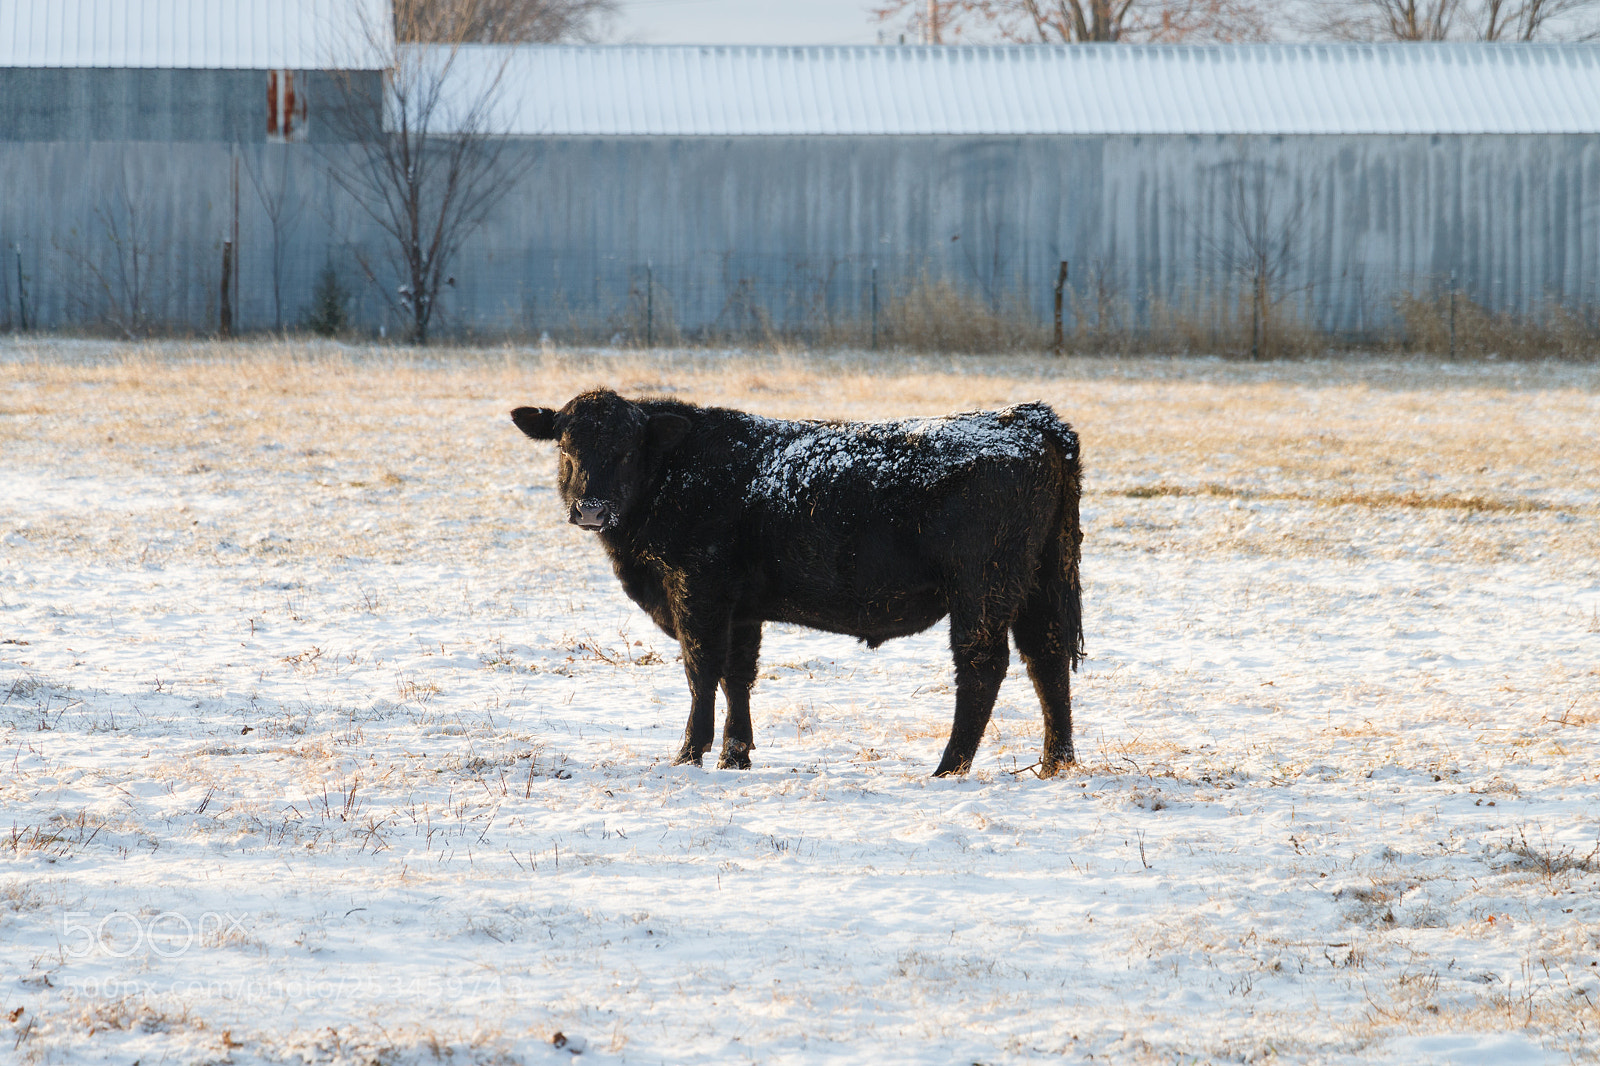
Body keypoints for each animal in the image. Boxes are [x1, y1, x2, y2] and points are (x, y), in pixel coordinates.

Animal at [510, 388, 1084, 777]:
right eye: (565, 448)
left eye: (628, 451)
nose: (590, 508)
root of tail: (1024, 419)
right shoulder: (742, 610)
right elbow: (738, 676)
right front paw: (735, 756)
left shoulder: (697, 592)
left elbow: (702, 672)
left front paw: (689, 755)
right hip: (1042, 583)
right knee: (1048, 660)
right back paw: (1056, 764)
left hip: (982, 589)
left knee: (982, 666)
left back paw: (949, 768)